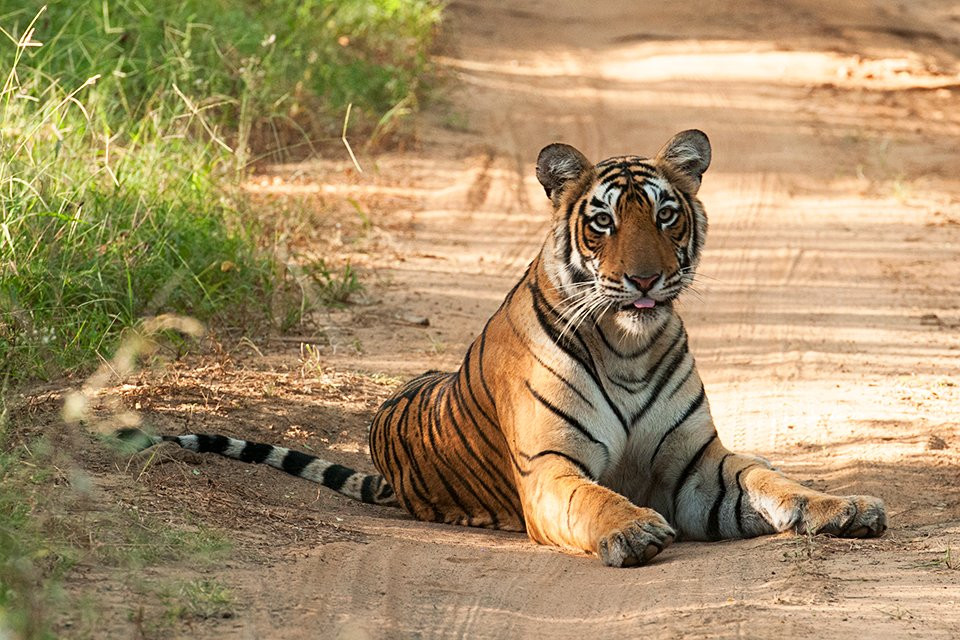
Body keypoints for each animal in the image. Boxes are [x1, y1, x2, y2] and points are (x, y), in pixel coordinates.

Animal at [124, 129, 888, 564]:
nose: (644, 279)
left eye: (666, 214)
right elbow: (594, 499)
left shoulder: (698, 468)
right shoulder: (549, 469)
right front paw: (634, 530)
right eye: (603, 221)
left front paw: (844, 507)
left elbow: (774, 481)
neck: (630, 347)